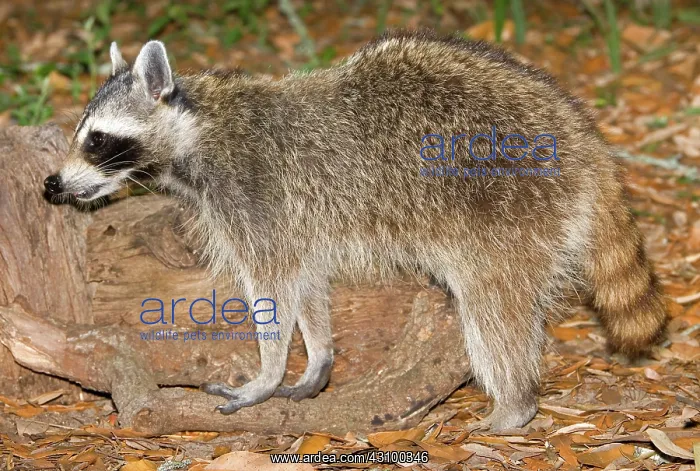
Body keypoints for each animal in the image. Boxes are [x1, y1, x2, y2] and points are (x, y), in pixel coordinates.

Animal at [44, 30, 667, 430]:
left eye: (97, 139)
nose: (52, 184)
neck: (195, 127)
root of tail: (582, 137)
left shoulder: (251, 193)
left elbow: (273, 287)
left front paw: (266, 372)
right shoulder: (295, 217)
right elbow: (305, 280)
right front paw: (318, 354)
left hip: (507, 203)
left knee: (493, 307)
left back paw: (514, 404)